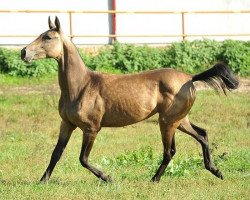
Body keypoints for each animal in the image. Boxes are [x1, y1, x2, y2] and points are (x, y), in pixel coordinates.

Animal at [20, 16, 237, 183]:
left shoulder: (91, 128)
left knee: (170, 151)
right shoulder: (66, 124)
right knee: (202, 135)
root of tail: (190, 78)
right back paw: (215, 171)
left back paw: (154, 179)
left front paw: (108, 178)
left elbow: (83, 158)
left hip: (167, 122)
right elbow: (56, 153)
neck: (81, 87)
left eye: (47, 37)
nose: (24, 52)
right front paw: (42, 181)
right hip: (179, 120)